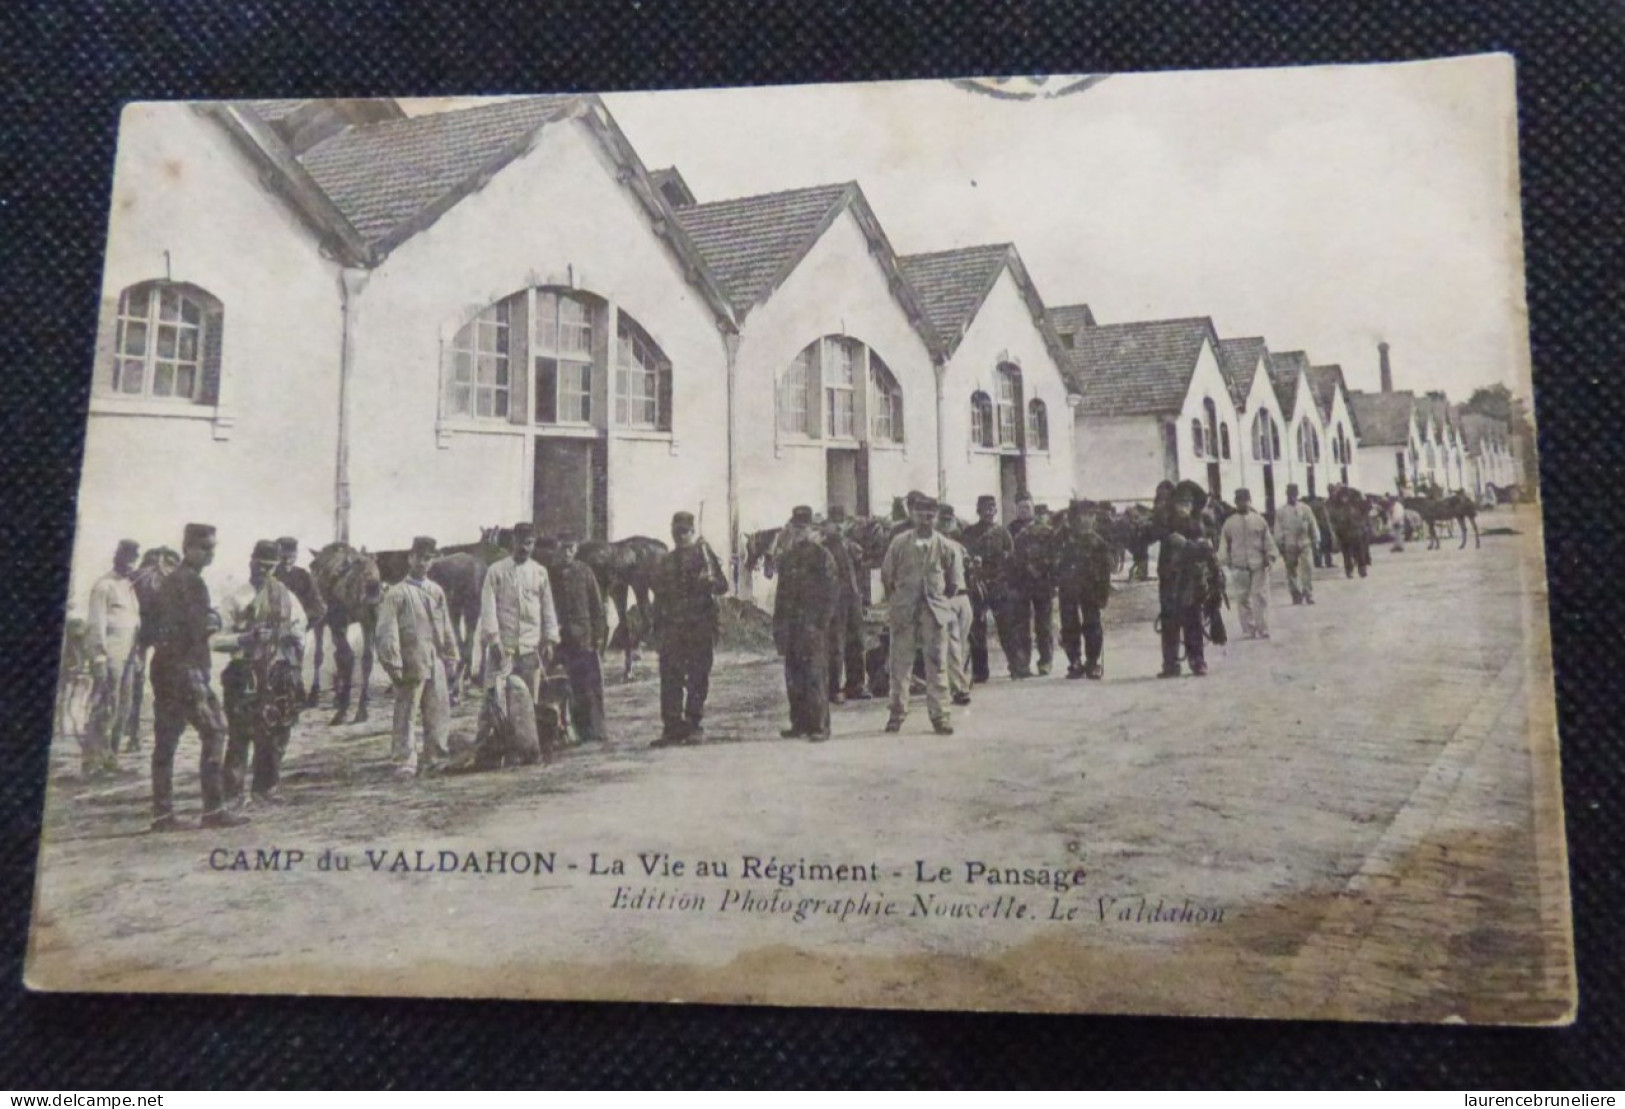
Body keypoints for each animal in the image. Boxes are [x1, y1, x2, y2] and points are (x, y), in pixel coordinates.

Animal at [307, 536, 380, 725]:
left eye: (312, 565)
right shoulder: (340, 622)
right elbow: (335, 656)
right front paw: (336, 696)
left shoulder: (326, 620)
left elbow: (320, 655)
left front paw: (315, 694)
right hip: (369, 620)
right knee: (367, 658)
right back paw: (361, 709)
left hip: (339, 619)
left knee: (348, 655)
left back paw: (342, 711)